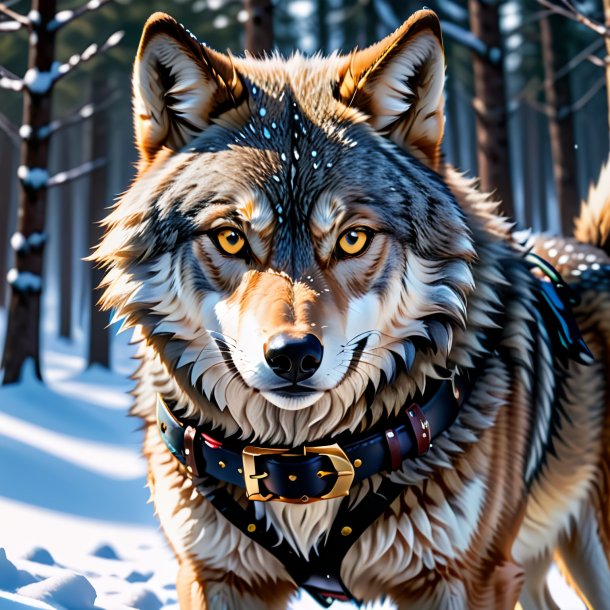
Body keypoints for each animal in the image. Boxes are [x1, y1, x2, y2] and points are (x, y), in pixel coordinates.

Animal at [92, 9, 608, 608]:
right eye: (230, 237)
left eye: (353, 238)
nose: (293, 355)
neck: (300, 466)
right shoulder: (214, 575)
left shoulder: (467, 577)